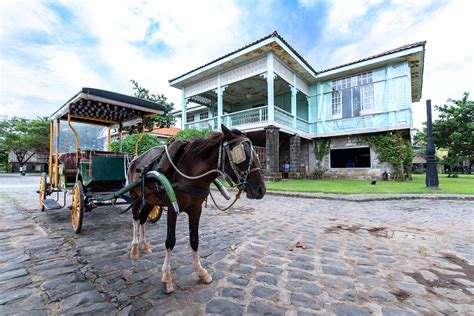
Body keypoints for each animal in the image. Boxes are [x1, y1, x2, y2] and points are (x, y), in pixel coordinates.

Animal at [128, 124, 264, 294]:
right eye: (241, 153)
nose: (261, 190)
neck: (189, 172)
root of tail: (135, 159)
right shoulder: (172, 209)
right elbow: (170, 241)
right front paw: (167, 277)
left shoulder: (196, 210)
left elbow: (194, 240)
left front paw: (201, 272)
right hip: (135, 197)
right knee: (135, 218)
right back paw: (134, 248)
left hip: (150, 200)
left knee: (143, 218)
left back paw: (144, 245)